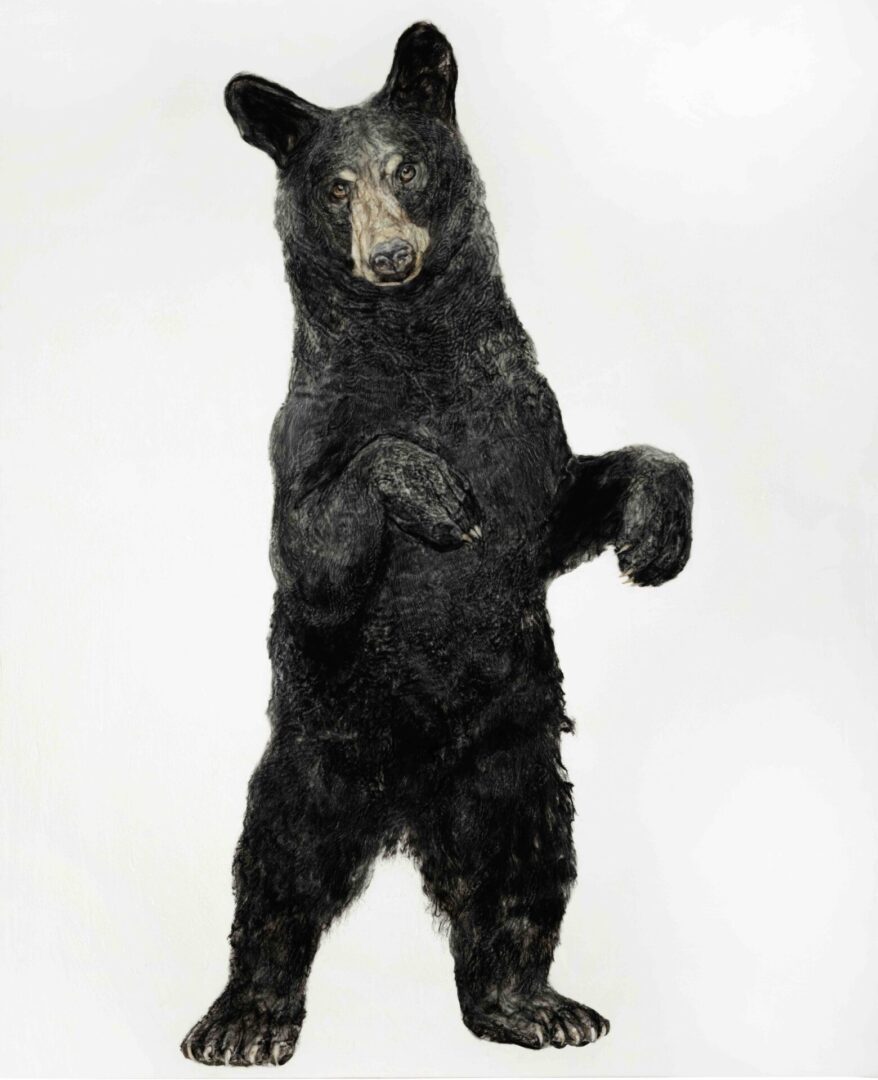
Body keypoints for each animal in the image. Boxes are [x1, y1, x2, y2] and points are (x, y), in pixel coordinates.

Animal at [181, 22, 692, 1066]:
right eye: (336, 186)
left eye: (407, 167)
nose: (387, 254)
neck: (413, 342)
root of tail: (405, 812)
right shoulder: (305, 440)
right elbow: (319, 548)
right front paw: (435, 495)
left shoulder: (517, 419)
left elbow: (562, 506)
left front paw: (655, 531)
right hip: (315, 755)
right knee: (278, 868)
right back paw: (246, 1020)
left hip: (514, 769)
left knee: (522, 874)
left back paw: (533, 1004)